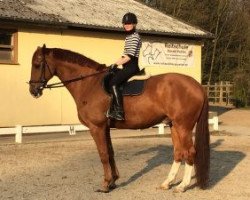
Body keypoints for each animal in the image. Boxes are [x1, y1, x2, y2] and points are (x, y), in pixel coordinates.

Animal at [28, 45, 209, 192]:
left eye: (37, 64)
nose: (33, 90)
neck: (89, 83)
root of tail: (197, 85)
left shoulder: (97, 127)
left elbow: (103, 154)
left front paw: (106, 184)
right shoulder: (105, 128)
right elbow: (110, 152)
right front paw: (113, 181)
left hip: (184, 127)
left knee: (190, 152)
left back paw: (182, 186)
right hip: (174, 126)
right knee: (178, 152)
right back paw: (167, 183)